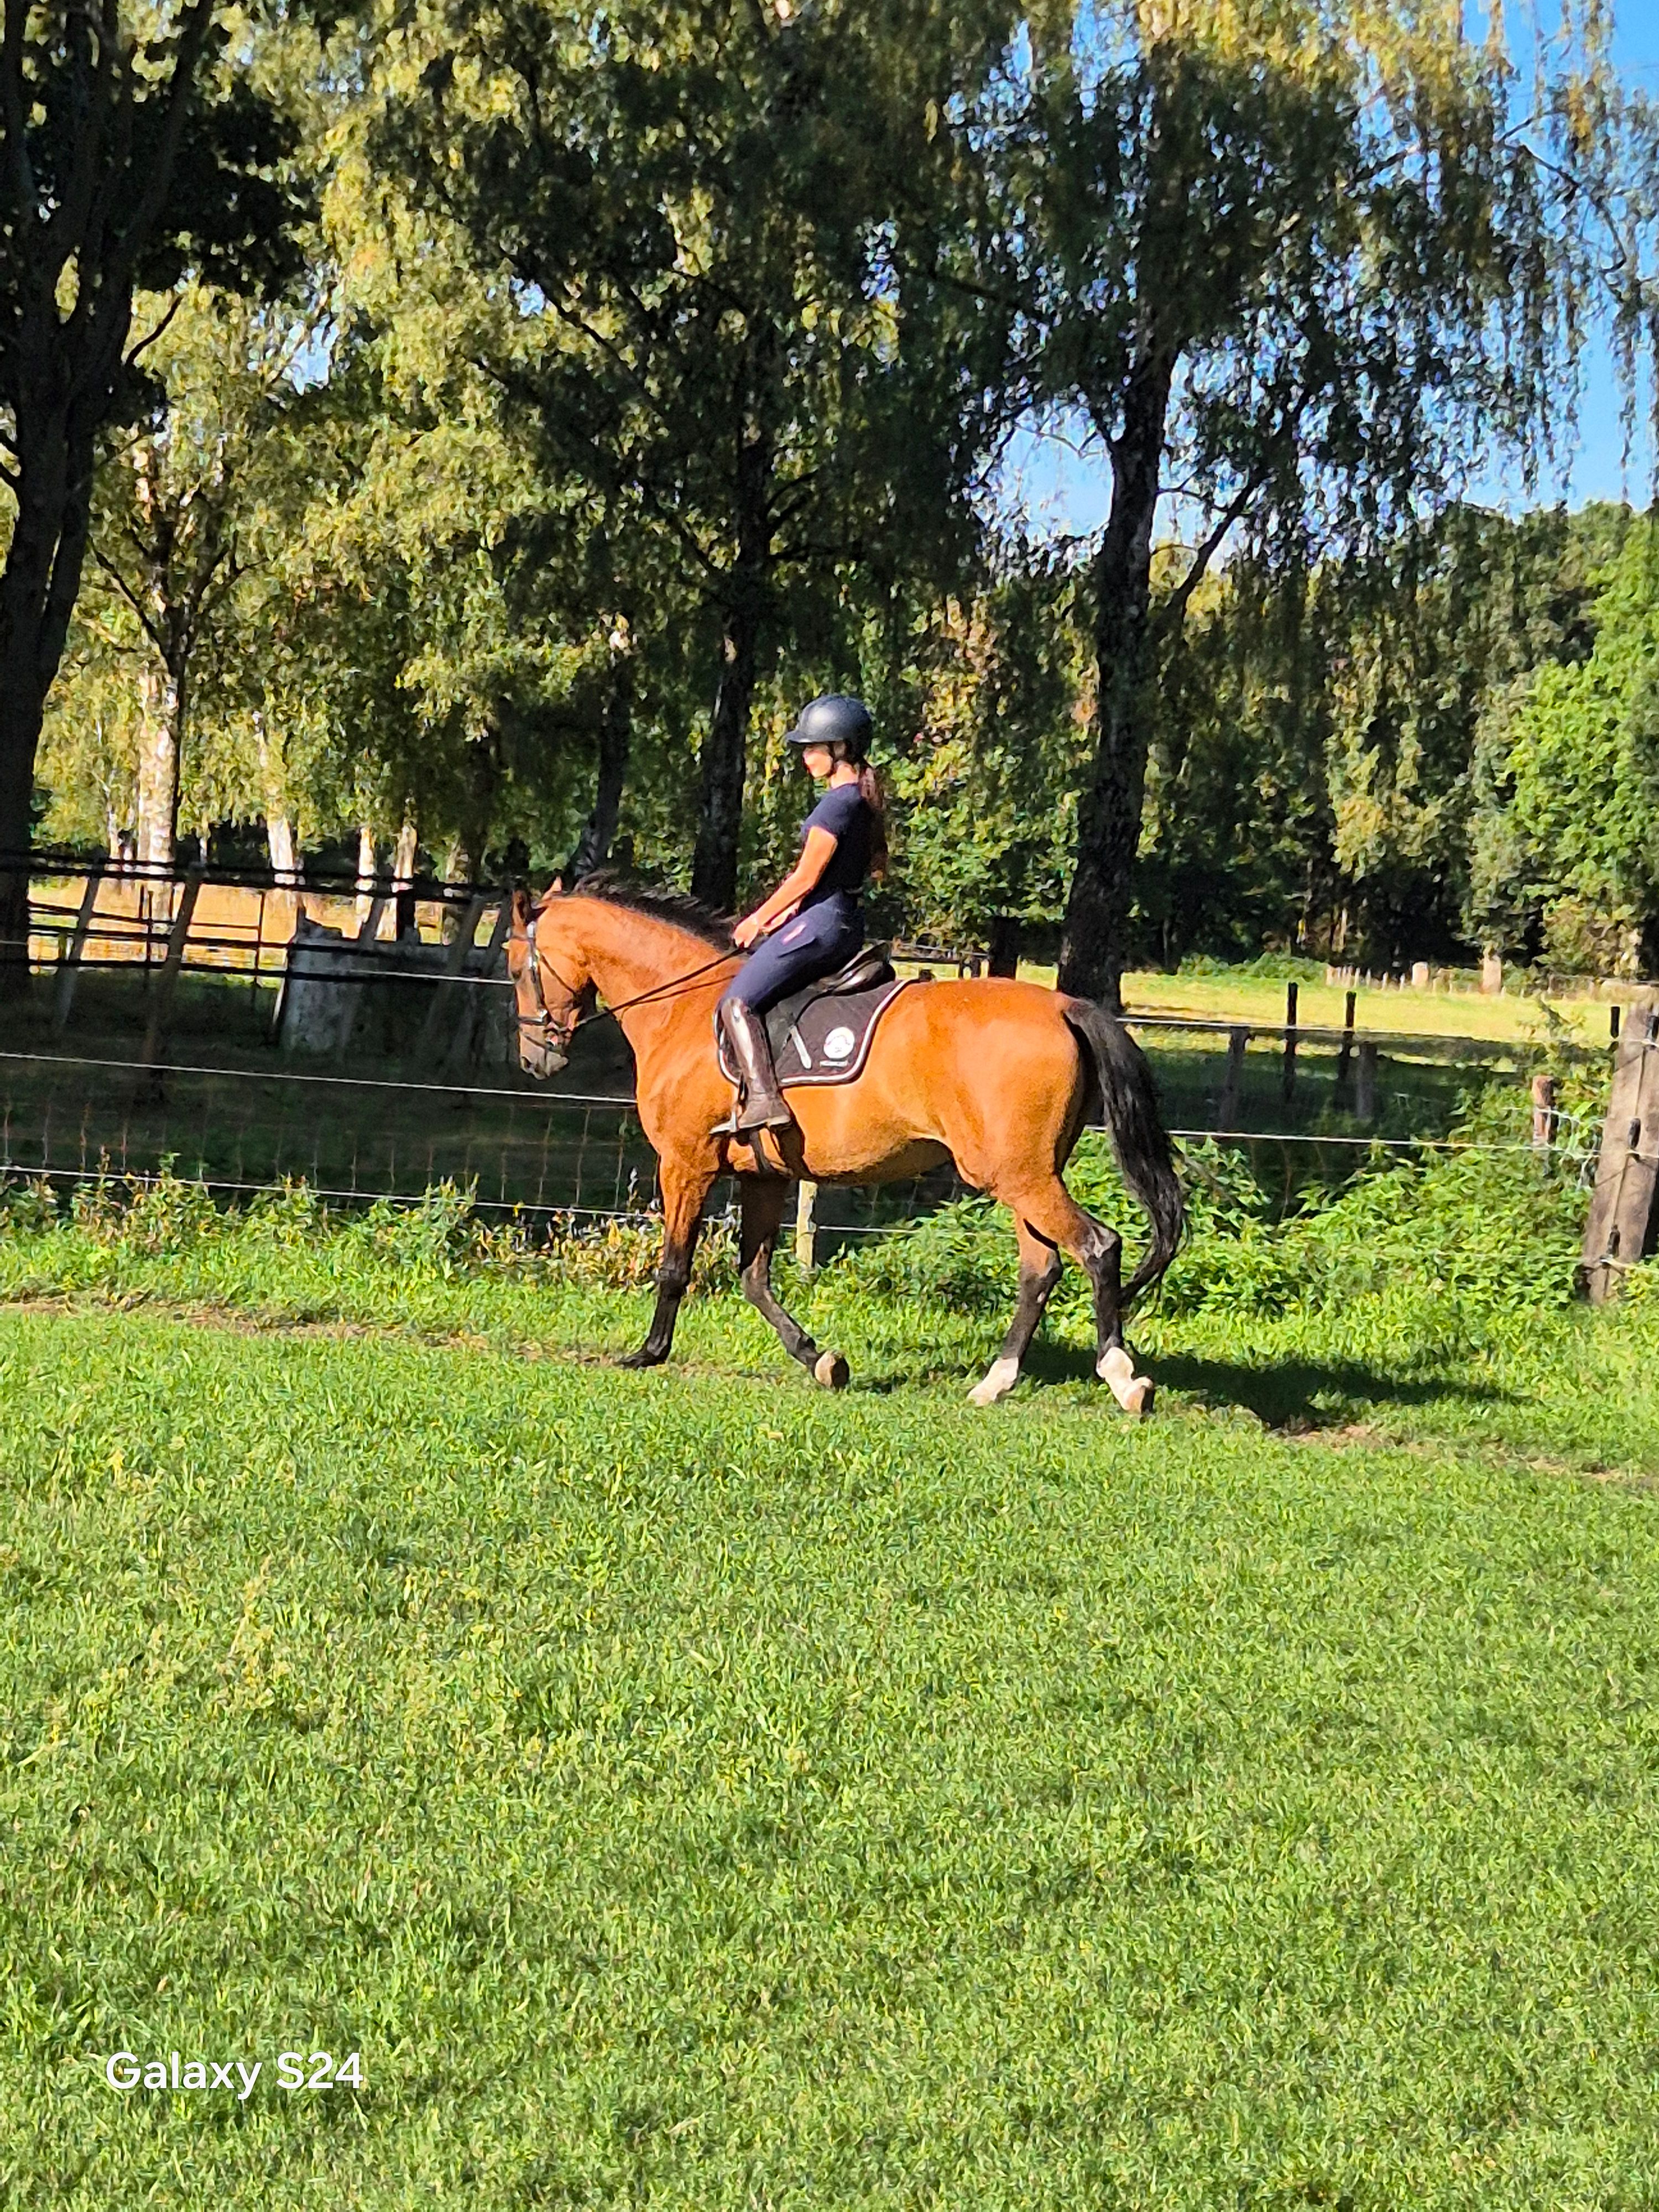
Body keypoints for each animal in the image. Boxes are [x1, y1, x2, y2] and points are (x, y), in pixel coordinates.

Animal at [506, 879, 1183, 1411]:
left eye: (516, 970)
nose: (535, 1059)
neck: (684, 1008)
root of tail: (1065, 1005)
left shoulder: (686, 1164)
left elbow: (676, 1265)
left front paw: (649, 1352)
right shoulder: (765, 1176)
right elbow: (754, 1278)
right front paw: (820, 1360)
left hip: (1019, 1177)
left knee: (1098, 1247)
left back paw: (1123, 1378)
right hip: (1023, 1175)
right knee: (1040, 1269)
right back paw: (996, 1381)